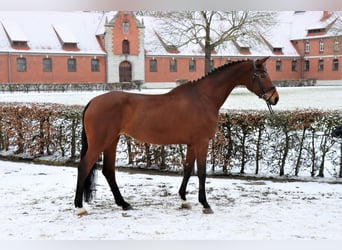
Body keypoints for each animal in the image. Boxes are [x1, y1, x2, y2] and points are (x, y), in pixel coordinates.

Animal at [74, 56, 278, 215]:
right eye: (262, 75)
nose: (275, 98)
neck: (204, 97)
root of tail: (93, 101)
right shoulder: (202, 142)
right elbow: (201, 172)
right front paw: (205, 204)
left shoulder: (192, 144)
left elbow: (188, 169)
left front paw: (184, 199)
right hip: (99, 143)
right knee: (84, 167)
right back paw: (79, 207)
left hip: (111, 141)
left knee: (109, 171)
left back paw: (124, 204)